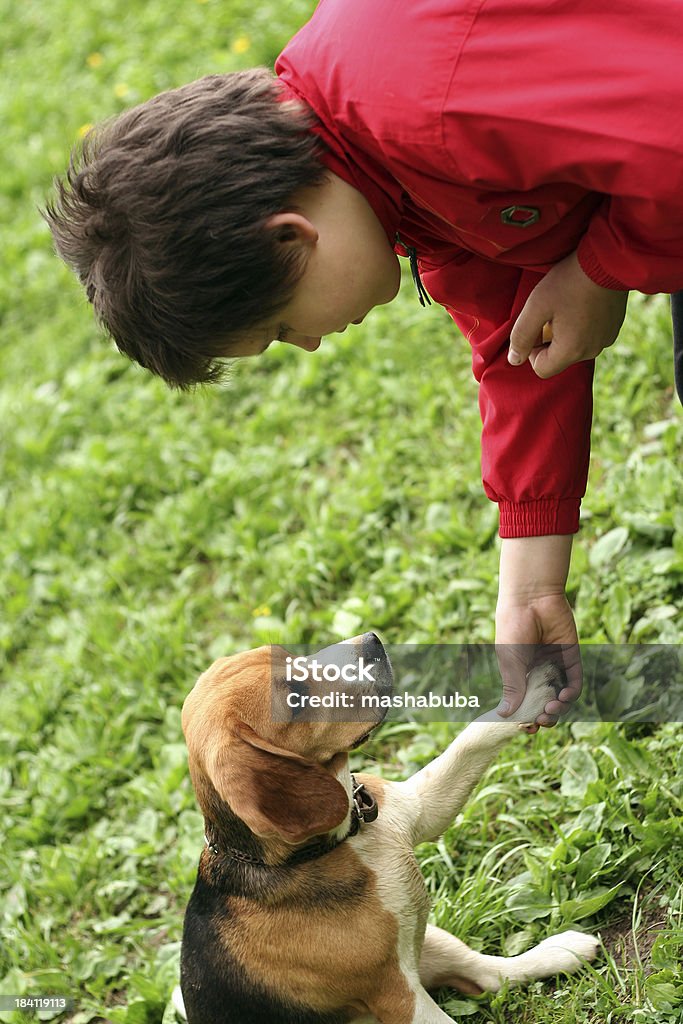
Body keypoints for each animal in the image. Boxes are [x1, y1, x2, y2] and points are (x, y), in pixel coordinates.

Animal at [175, 634, 598, 1019]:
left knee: (488, 973)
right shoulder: (398, 997)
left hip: (433, 938)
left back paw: (561, 952)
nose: (372, 643)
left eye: (287, 653)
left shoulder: (419, 807)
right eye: (295, 697)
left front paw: (531, 695)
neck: (349, 837)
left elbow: (472, 739)